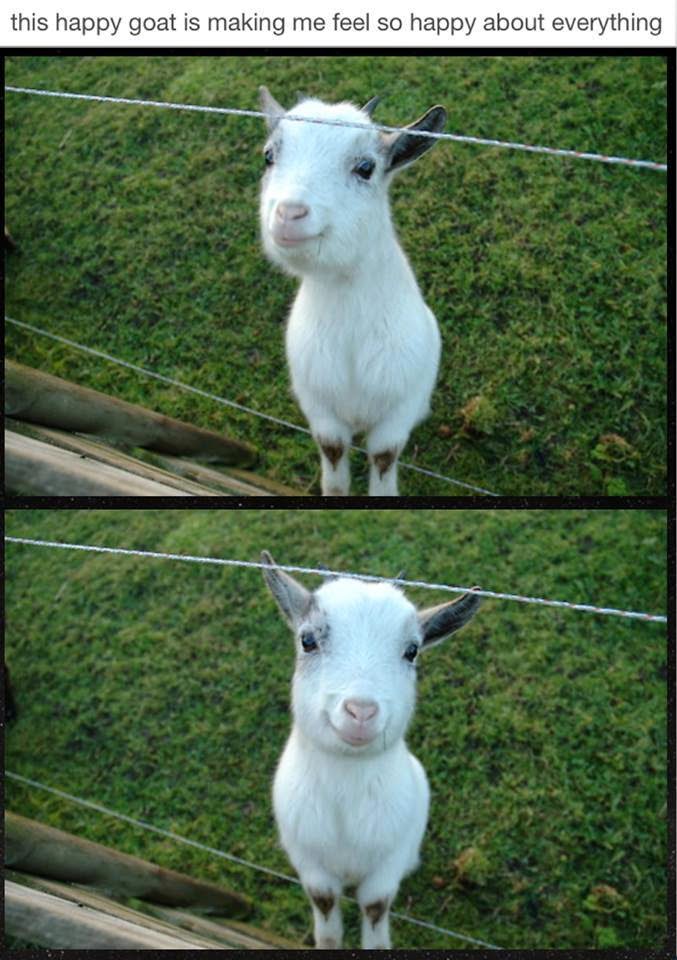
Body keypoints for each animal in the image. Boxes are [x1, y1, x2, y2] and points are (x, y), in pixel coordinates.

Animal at [259, 89, 447, 496]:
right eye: (269, 155)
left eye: (365, 167)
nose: (289, 214)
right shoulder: (318, 405)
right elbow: (332, 450)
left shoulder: (399, 408)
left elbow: (384, 455)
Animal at [261, 551, 482, 948]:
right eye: (307, 640)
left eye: (412, 651)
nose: (361, 711)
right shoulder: (309, 863)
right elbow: (325, 906)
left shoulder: (387, 863)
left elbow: (375, 906)